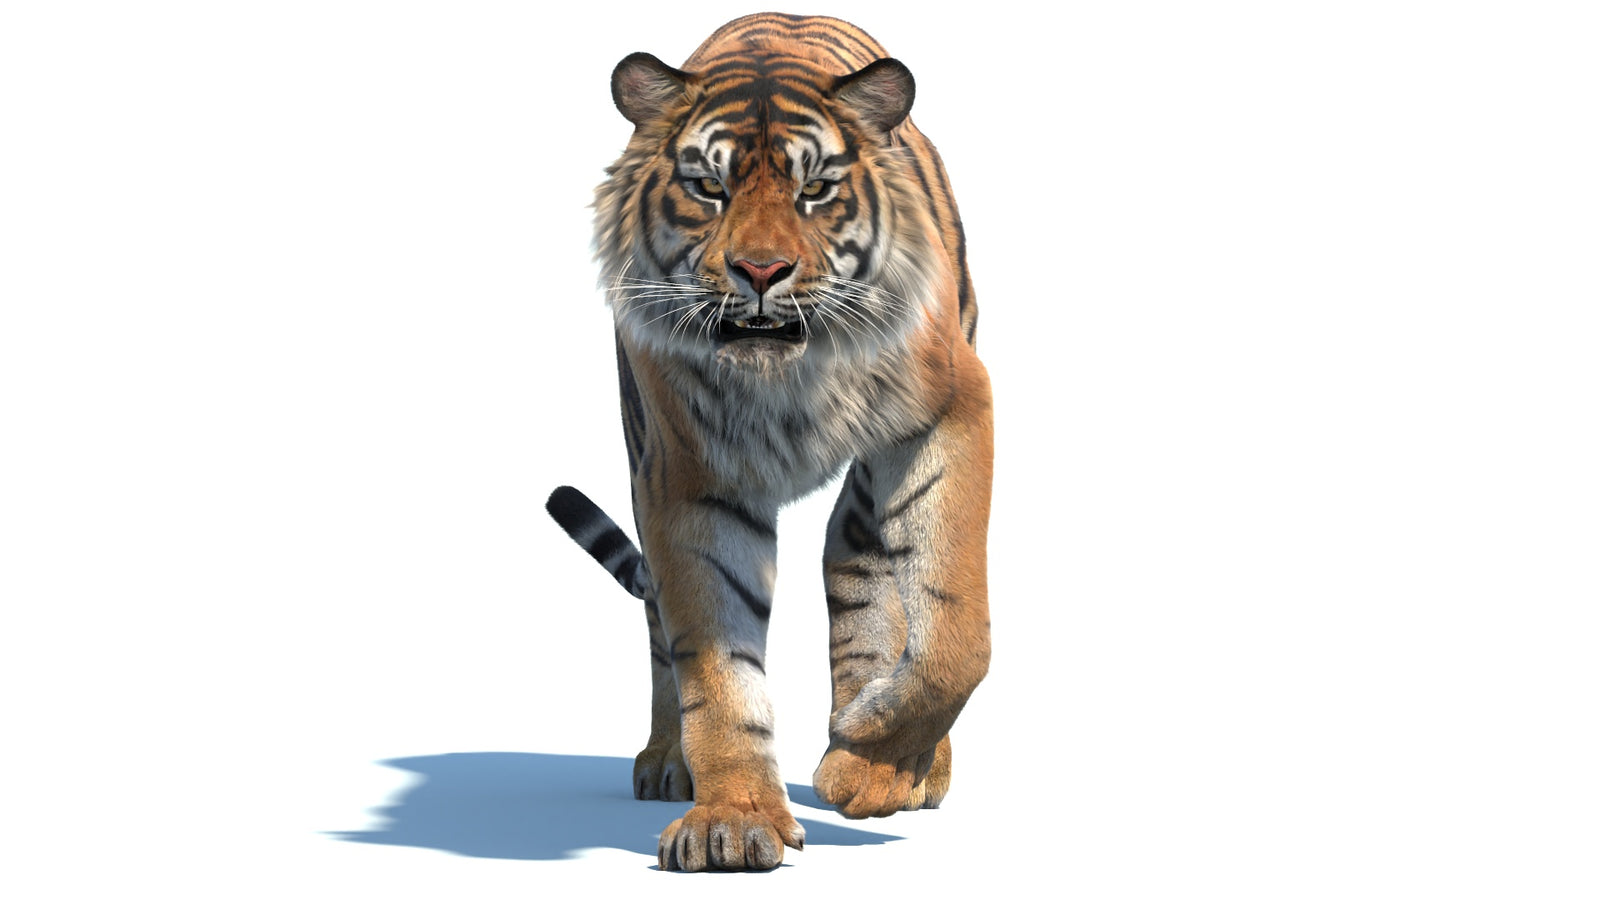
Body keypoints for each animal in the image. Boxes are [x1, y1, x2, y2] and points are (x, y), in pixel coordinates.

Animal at [546, 12, 992, 871]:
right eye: (707, 188)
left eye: (814, 190)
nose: (760, 271)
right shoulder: (685, 478)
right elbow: (715, 665)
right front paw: (733, 820)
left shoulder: (952, 410)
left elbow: (954, 632)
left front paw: (869, 767)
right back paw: (669, 760)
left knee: (859, 572)